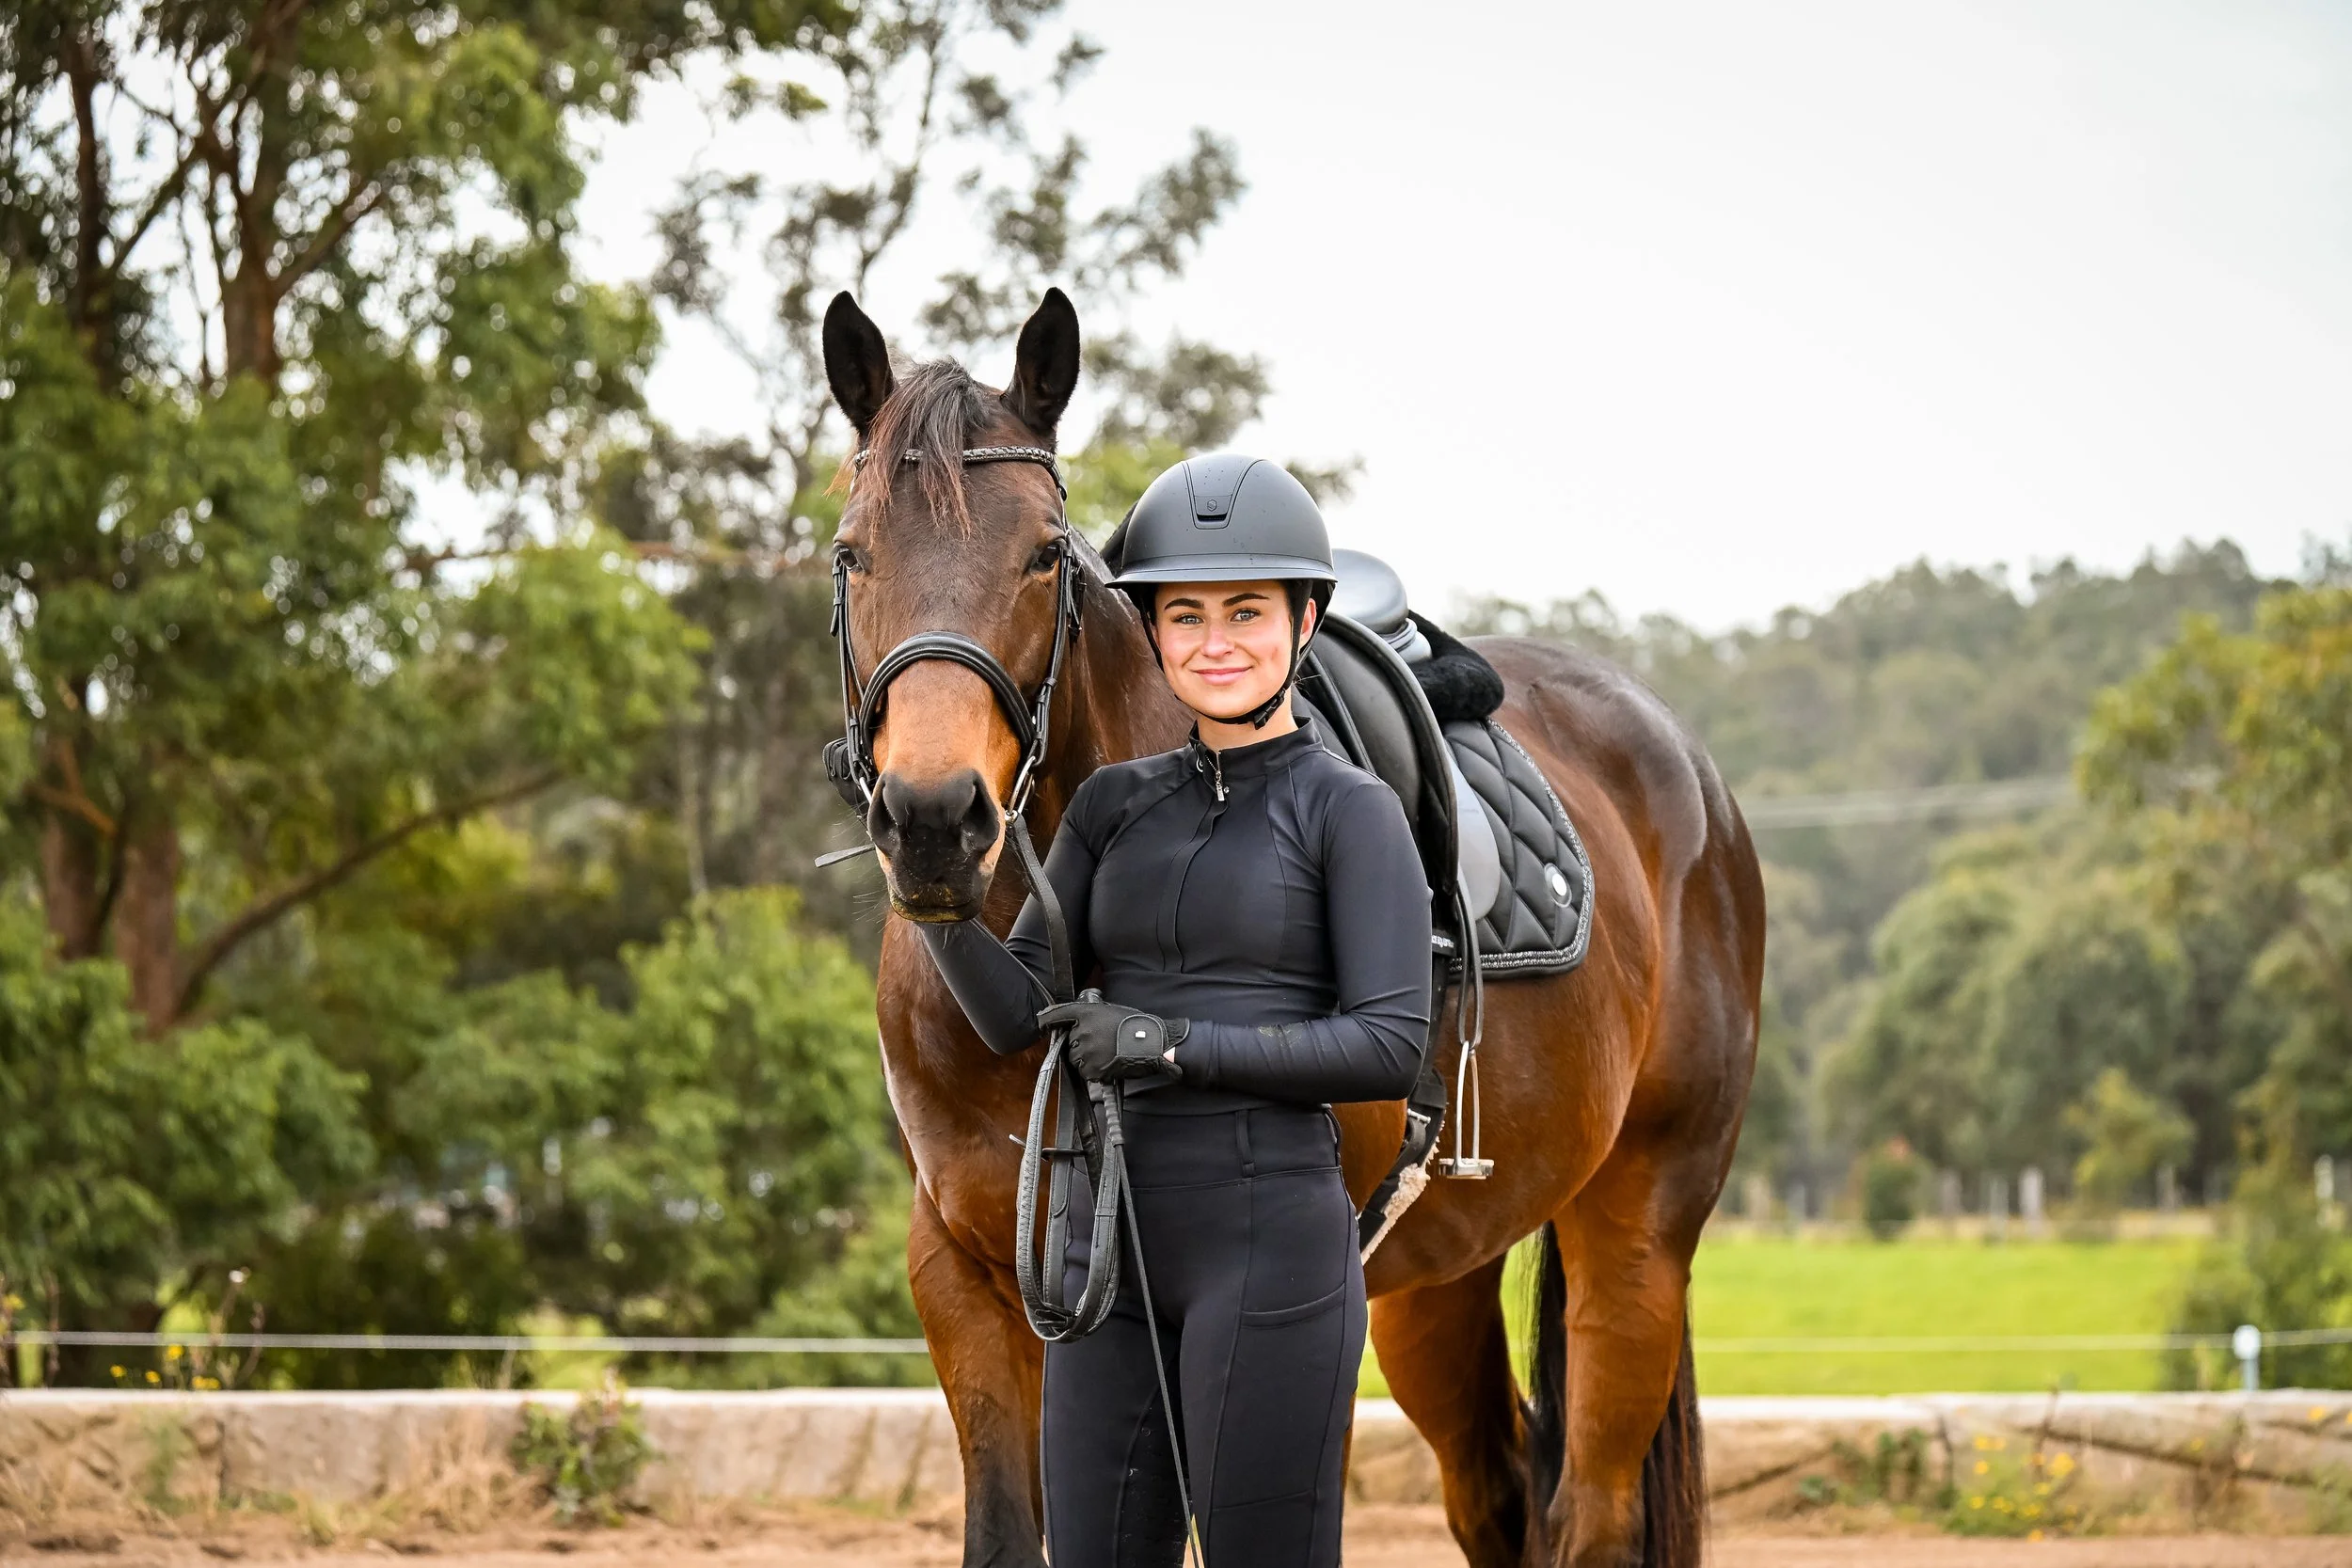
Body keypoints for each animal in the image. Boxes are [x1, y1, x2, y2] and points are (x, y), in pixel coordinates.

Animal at [821, 286, 1764, 1568]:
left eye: (1042, 555)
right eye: (851, 552)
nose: (930, 819)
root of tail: (1690, 777)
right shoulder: (967, 1273)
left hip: (1638, 1237)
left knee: (1592, 1512)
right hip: (1434, 1279)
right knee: (1499, 1494)